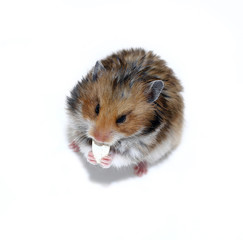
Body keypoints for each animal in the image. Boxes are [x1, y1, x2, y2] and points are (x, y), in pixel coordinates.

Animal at [65, 48, 183, 176]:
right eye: (96, 108)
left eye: (122, 119)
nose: (98, 138)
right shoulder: (77, 123)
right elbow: (85, 145)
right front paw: (91, 156)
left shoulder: (142, 146)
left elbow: (122, 157)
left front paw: (106, 159)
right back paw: (72, 146)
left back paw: (140, 171)